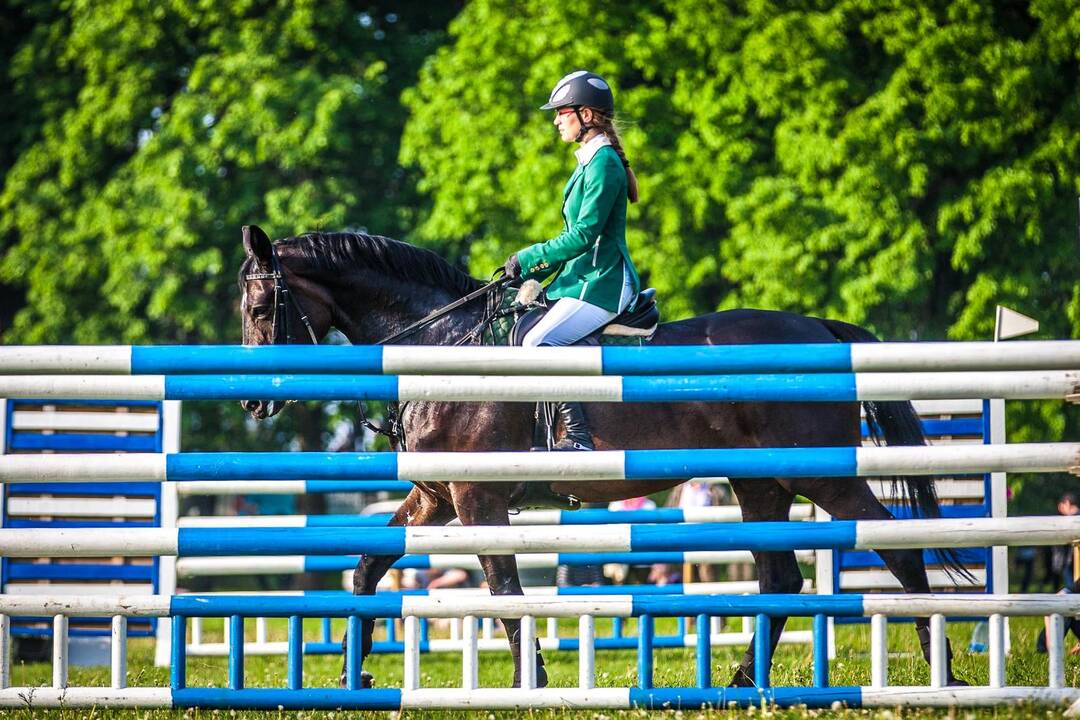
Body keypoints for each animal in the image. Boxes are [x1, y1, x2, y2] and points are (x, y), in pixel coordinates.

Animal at [238, 223, 972, 686]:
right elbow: (367, 570)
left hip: (816, 473)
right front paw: (353, 671)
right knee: (781, 579)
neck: (442, 341)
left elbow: (505, 591)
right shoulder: (435, 497)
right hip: (759, 482)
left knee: (897, 550)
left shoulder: (477, 498)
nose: (250, 403)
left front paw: (529, 681)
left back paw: (944, 673)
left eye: (260, 305)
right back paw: (739, 683)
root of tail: (816, 327)